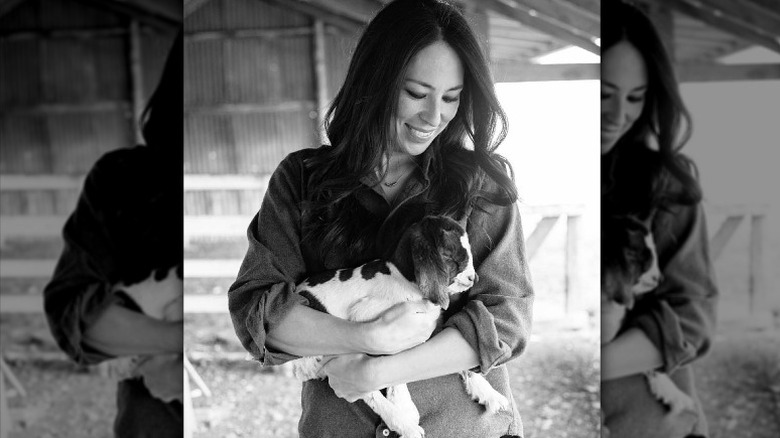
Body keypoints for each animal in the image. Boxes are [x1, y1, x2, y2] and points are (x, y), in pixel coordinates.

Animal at [290, 215, 508, 438]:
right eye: (448, 255)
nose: (474, 278)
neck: (403, 279)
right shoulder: (368, 318)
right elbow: (392, 356)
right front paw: (405, 408)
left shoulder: (428, 325)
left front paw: (488, 392)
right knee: (368, 391)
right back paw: (404, 423)